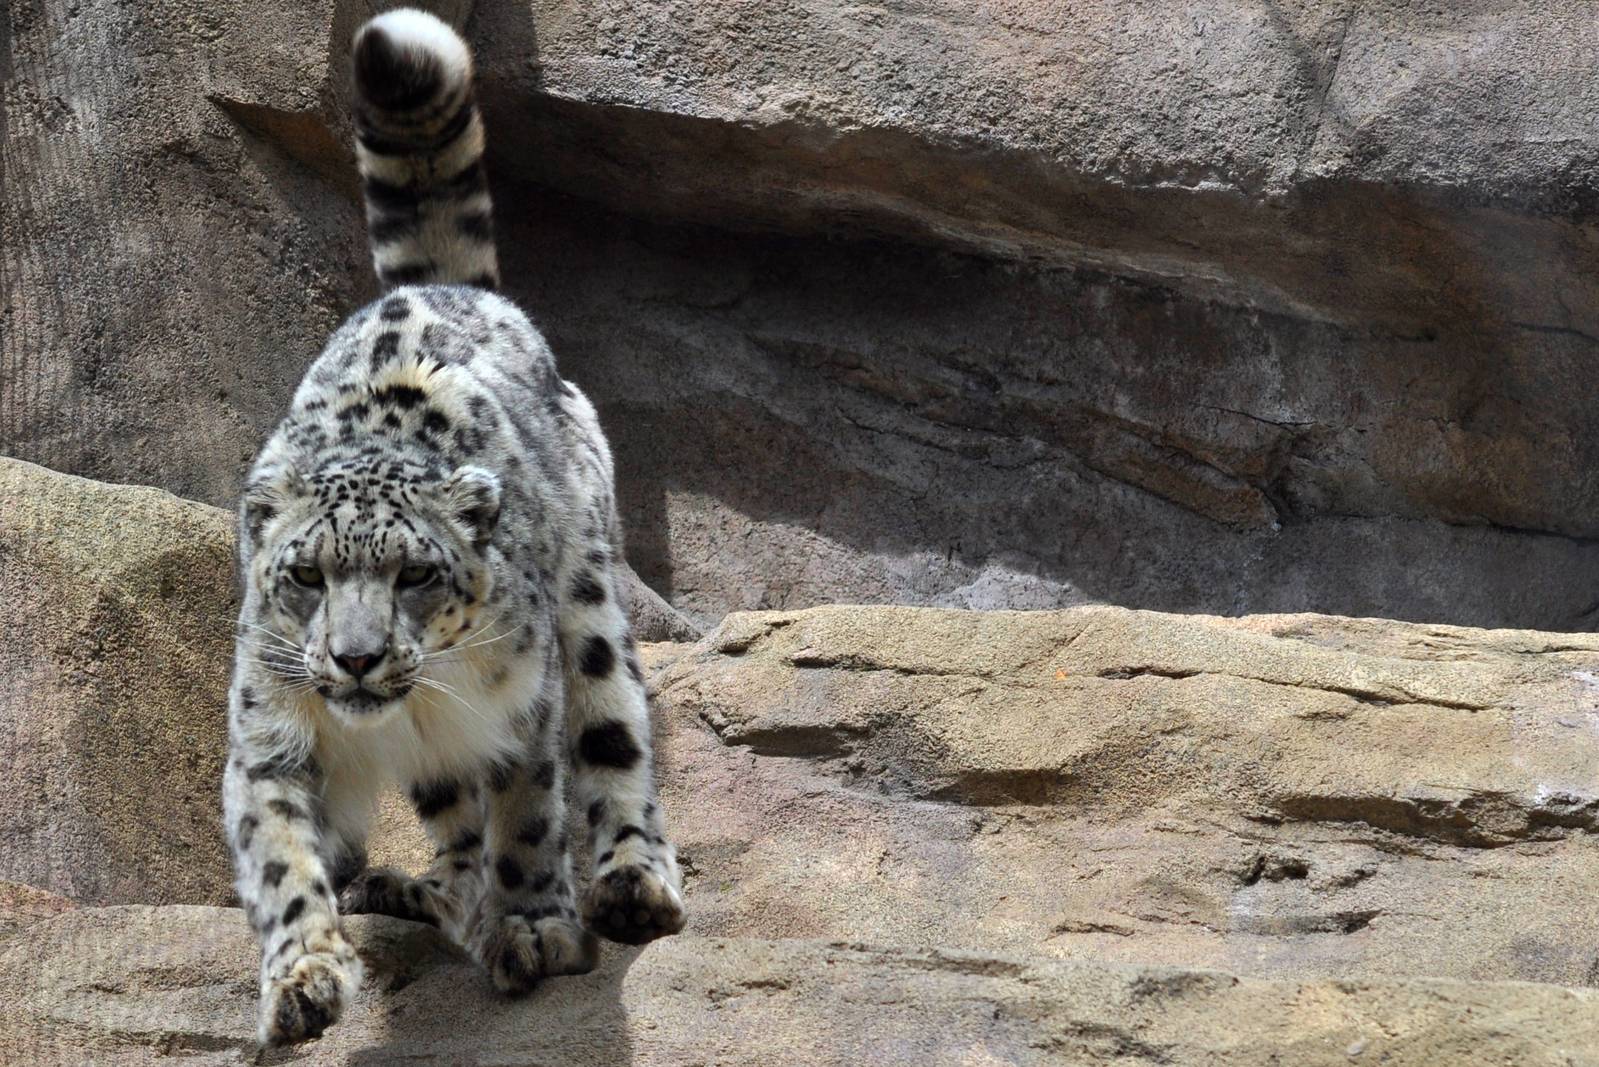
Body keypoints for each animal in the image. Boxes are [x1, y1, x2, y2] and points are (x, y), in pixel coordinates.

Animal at [222, 8, 684, 1047]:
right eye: (304, 577)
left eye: (414, 574)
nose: (354, 659)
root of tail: (459, 293)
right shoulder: (269, 731)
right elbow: (280, 856)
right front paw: (302, 977)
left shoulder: (519, 705)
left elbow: (528, 812)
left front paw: (534, 927)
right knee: (451, 823)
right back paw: (423, 890)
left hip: (589, 598)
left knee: (614, 737)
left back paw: (629, 884)